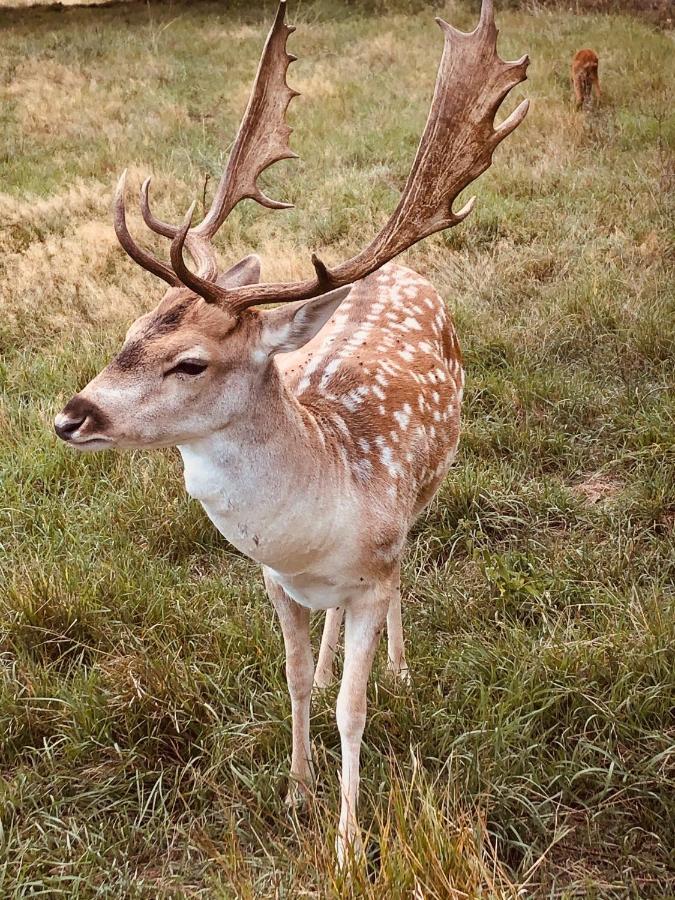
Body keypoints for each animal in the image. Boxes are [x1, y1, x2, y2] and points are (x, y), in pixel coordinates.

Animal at [54, 0, 528, 860]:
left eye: (191, 363)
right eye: (130, 329)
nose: (72, 415)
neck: (314, 525)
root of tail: (398, 267)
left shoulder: (375, 569)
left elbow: (353, 707)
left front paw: (345, 841)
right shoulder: (274, 580)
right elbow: (298, 680)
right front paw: (297, 791)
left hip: (431, 487)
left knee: (405, 578)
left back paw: (399, 669)